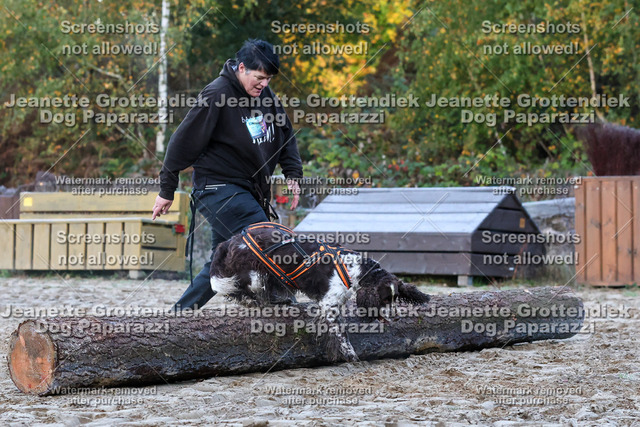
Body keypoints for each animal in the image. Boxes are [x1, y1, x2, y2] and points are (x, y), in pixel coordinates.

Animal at [209, 223, 431, 361]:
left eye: (394, 299)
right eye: (385, 300)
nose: (395, 318)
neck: (354, 268)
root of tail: (230, 240)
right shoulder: (329, 306)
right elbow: (341, 334)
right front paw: (351, 356)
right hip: (255, 271)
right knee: (238, 288)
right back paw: (254, 301)